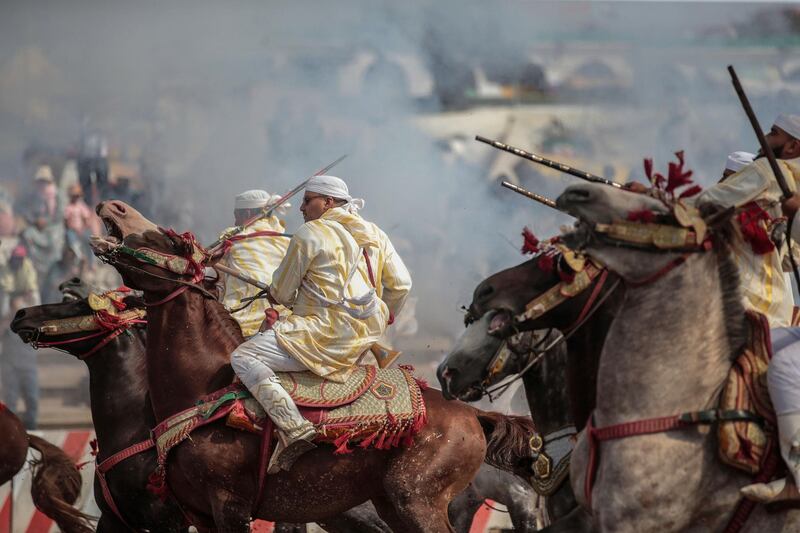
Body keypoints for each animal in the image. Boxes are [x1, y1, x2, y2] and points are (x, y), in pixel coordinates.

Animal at [90, 201, 536, 532]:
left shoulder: (229, 507)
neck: (202, 389)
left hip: (417, 500)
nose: (114, 205)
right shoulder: (198, 514)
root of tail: (475, 415)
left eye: (166, 237)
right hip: (392, 505)